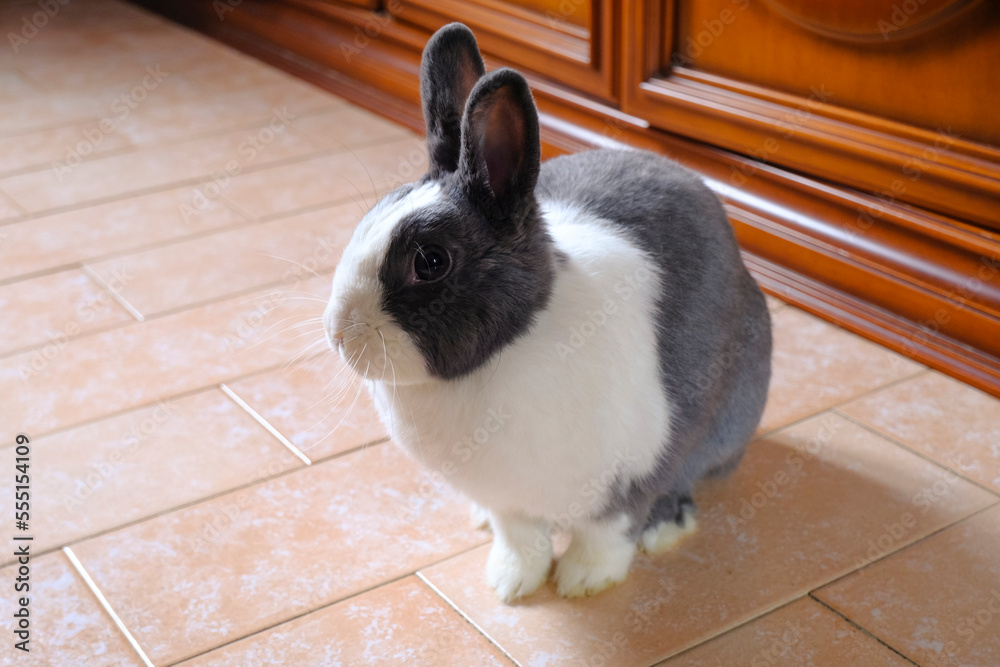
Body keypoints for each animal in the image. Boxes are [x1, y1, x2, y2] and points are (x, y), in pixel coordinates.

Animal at [323, 23, 772, 602]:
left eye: (431, 262)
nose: (337, 334)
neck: (510, 347)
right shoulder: (508, 499)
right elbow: (521, 539)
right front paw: (511, 584)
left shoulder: (626, 481)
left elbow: (607, 534)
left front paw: (583, 582)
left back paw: (666, 527)